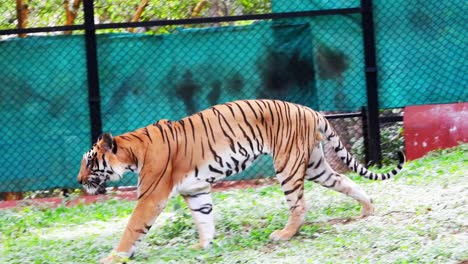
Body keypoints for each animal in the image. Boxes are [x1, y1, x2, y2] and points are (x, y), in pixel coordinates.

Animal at [76, 99, 402, 264]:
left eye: (90, 162)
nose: (78, 180)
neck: (133, 151)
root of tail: (311, 109)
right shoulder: (196, 189)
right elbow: (204, 218)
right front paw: (203, 246)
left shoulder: (151, 196)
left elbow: (132, 228)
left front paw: (114, 257)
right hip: (315, 166)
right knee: (345, 181)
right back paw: (367, 208)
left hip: (288, 164)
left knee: (299, 205)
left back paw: (284, 234)